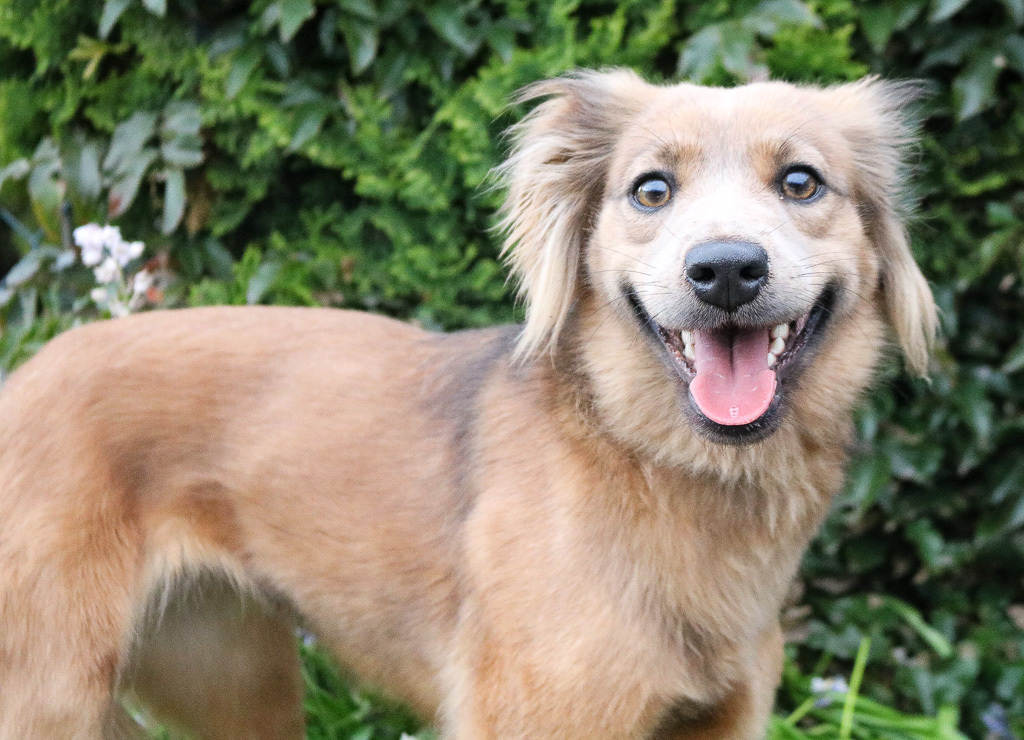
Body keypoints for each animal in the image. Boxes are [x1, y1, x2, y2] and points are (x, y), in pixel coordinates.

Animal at [0, 66, 937, 736]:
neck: (654, 464)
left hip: (234, 676)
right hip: (50, 698)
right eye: (652, 190)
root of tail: (28, 373)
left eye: (802, 183)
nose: (728, 270)